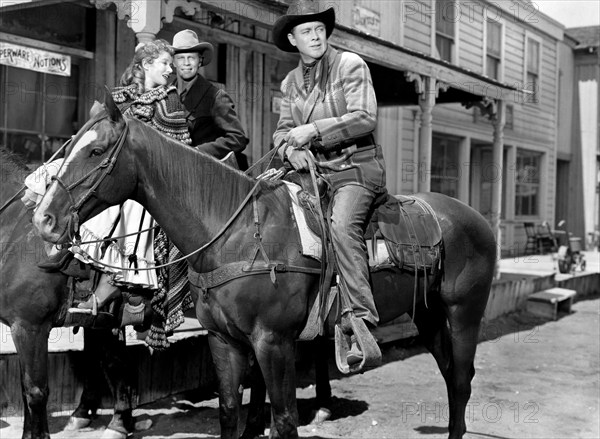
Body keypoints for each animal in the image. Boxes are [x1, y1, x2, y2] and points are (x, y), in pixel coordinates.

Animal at [30, 96, 494, 439]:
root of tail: (476, 218)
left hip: (464, 313)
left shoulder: (274, 342)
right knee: (451, 375)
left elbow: (284, 420)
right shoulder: (224, 341)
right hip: (428, 314)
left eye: (95, 151)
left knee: (463, 378)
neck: (232, 233)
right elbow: (229, 414)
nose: (44, 219)